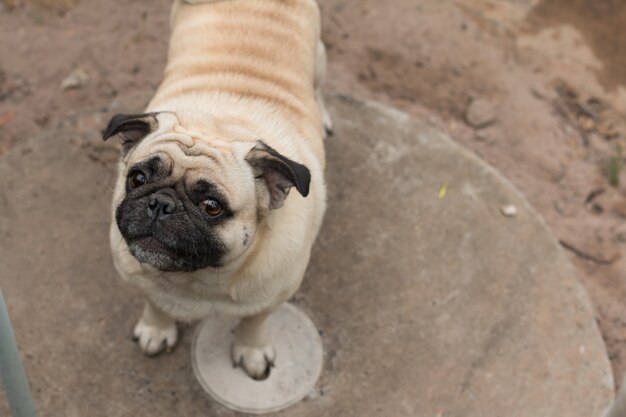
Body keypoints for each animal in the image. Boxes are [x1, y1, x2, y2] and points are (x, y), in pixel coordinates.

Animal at [103, 0, 326, 378]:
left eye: (211, 206)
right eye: (137, 179)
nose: (161, 203)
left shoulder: (275, 294)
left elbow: (254, 321)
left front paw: (252, 351)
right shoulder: (139, 275)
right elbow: (154, 302)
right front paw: (156, 328)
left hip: (319, 58)